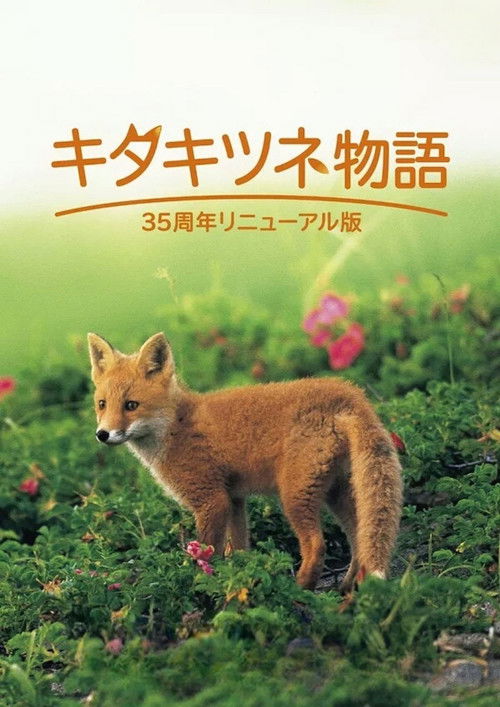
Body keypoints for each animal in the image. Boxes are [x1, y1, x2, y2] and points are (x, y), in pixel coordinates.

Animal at [88, 332, 403, 591]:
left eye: (131, 405)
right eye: (102, 404)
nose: (102, 434)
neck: (175, 426)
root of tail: (350, 393)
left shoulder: (211, 500)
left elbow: (207, 552)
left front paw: (201, 585)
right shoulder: (234, 499)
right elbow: (239, 548)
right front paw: (240, 577)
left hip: (295, 495)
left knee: (317, 545)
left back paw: (300, 590)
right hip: (339, 492)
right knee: (360, 539)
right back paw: (348, 589)